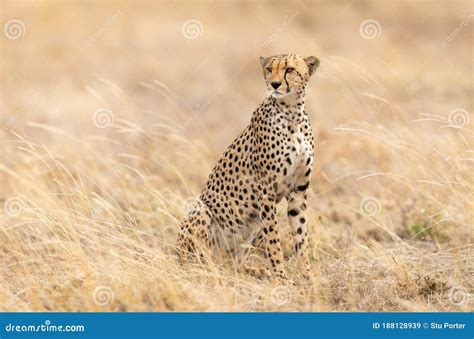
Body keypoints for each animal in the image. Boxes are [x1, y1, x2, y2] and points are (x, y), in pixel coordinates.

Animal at [176, 53, 320, 282]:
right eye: (269, 69)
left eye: (289, 69)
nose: (274, 84)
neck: (292, 113)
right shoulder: (266, 191)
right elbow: (274, 241)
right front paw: (281, 277)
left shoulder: (299, 190)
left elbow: (301, 238)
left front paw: (307, 277)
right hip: (202, 211)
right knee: (201, 263)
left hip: (251, 227)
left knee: (234, 266)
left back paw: (258, 271)